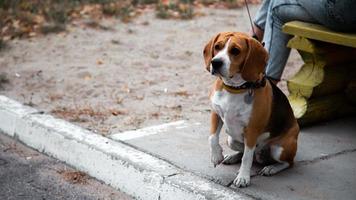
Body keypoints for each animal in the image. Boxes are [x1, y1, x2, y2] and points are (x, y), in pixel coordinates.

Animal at [204, 31, 298, 188]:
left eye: (235, 51)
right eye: (217, 46)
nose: (215, 62)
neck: (235, 88)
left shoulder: (252, 130)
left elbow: (247, 158)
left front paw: (243, 177)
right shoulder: (215, 113)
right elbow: (212, 138)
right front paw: (216, 156)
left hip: (279, 149)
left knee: (288, 163)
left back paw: (271, 168)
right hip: (231, 140)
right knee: (247, 154)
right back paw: (232, 157)